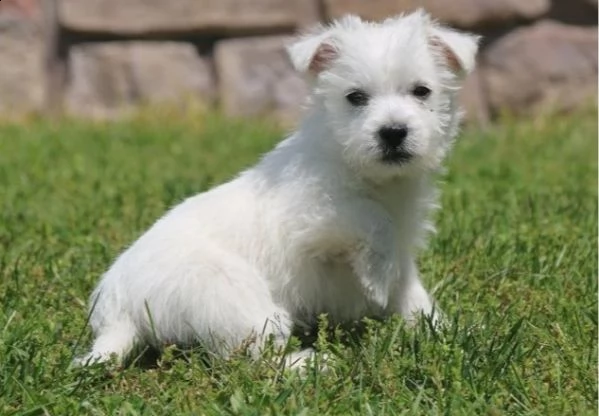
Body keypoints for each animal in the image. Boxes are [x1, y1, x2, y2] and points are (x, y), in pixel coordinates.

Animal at [76, 9, 478, 368]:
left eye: (421, 91)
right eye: (355, 97)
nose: (393, 132)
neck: (374, 178)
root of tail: (118, 312)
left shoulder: (403, 248)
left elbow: (410, 292)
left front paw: (443, 331)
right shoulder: (313, 215)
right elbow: (371, 218)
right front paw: (376, 278)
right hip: (232, 296)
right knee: (252, 360)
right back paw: (311, 364)